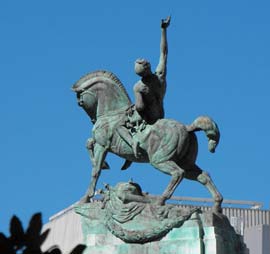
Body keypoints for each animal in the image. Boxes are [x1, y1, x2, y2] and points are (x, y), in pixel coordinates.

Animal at [72, 69, 224, 212]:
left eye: (80, 101)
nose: (93, 119)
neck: (111, 112)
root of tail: (187, 128)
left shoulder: (102, 145)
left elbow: (95, 170)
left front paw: (86, 197)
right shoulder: (101, 144)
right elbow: (88, 143)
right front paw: (105, 165)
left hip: (159, 160)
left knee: (178, 173)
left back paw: (160, 200)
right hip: (186, 163)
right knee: (203, 176)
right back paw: (216, 206)